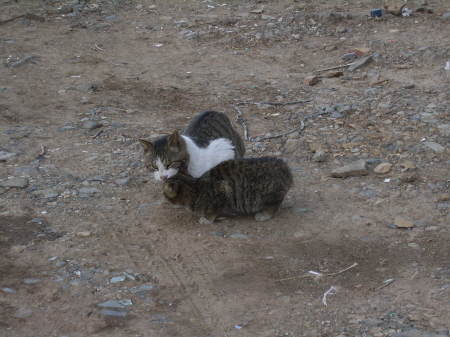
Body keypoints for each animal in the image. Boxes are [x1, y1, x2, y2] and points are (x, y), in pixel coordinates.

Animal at [162, 156, 292, 224]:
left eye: (163, 193)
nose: (161, 195)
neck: (196, 187)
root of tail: (284, 166)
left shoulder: (224, 190)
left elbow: (213, 211)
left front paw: (207, 218)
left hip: (269, 193)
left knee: (276, 203)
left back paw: (265, 213)